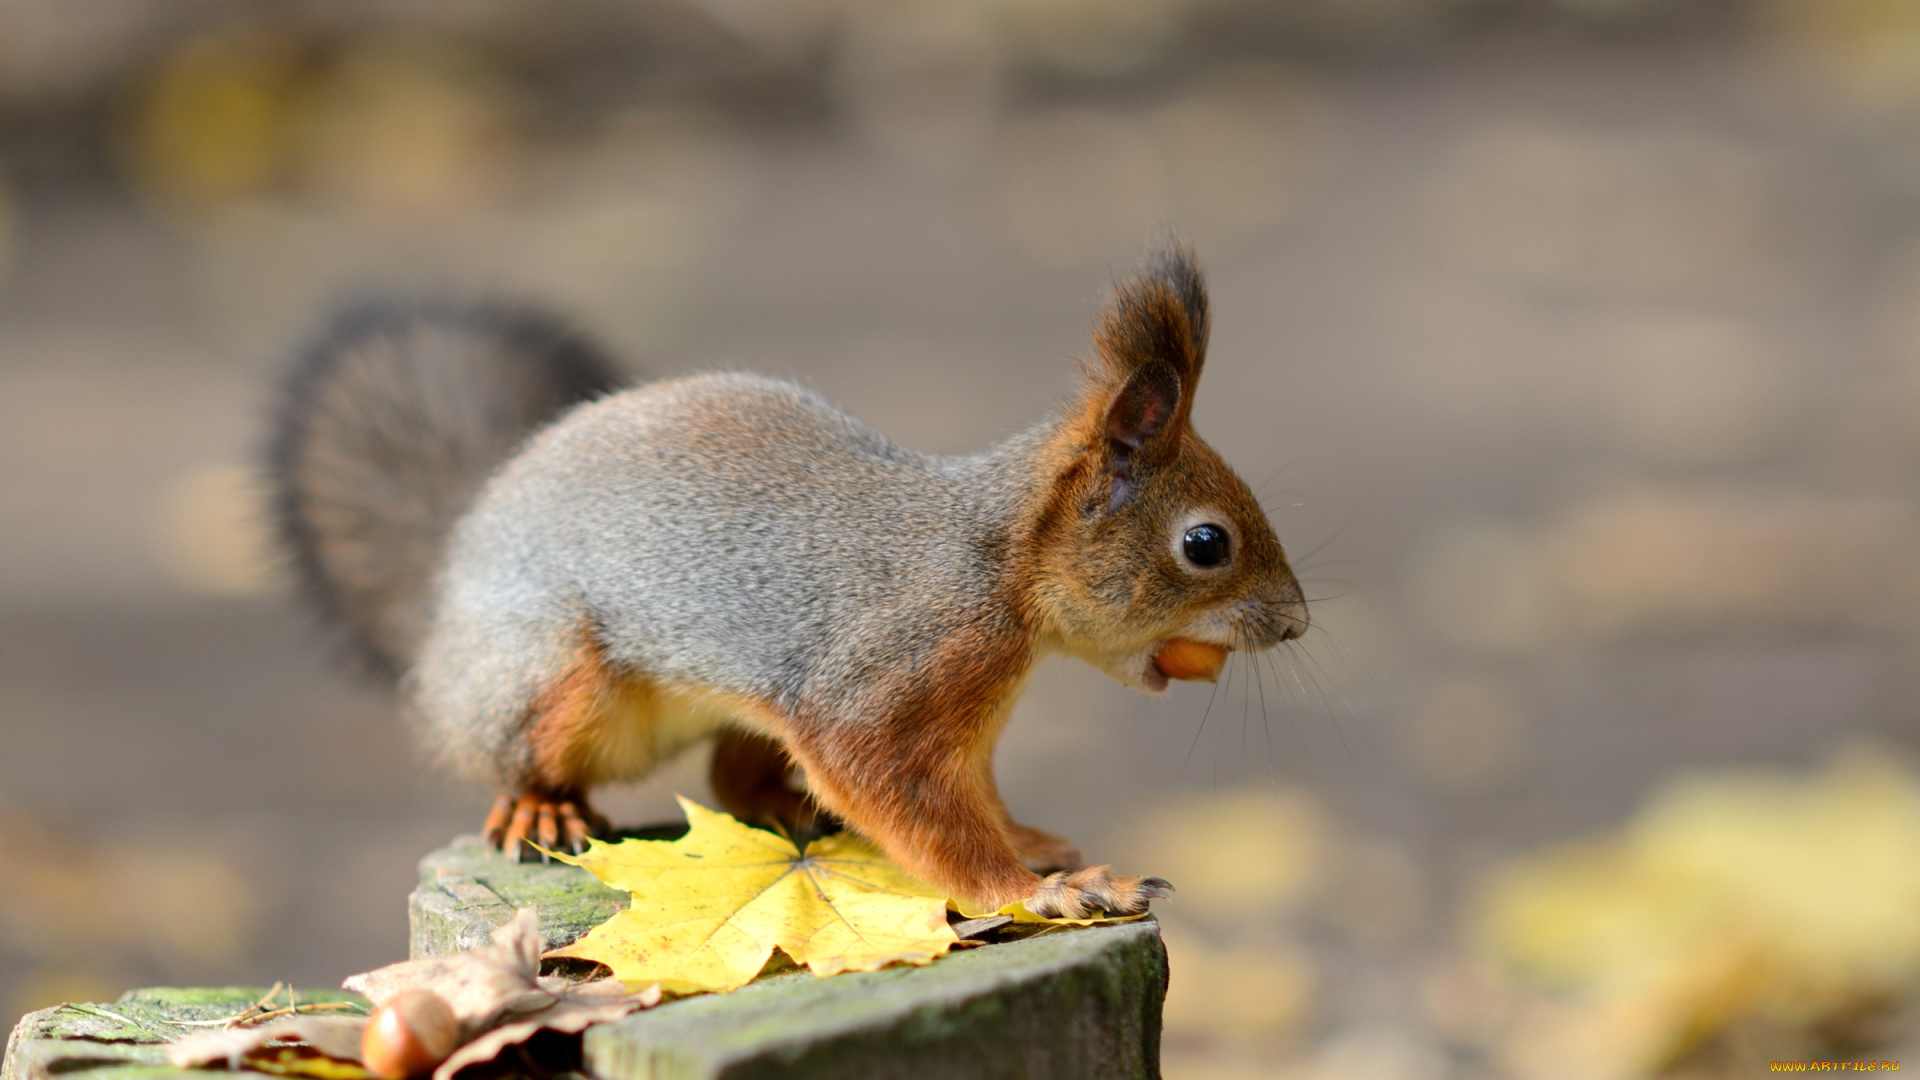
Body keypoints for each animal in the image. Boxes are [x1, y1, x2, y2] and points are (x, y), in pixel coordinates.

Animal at [270, 239, 1313, 910]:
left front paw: (1032, 845)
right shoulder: (899, 671)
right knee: (511, 751)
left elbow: (976, 800)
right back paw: (542, 805)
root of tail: (446, 600)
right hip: (553, 677)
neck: (1001, 563)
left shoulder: (965, 726)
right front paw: (1034, 891)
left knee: (732, 775)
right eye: (1206, 544)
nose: (1296, 623)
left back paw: (787, 805)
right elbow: (916, 804)